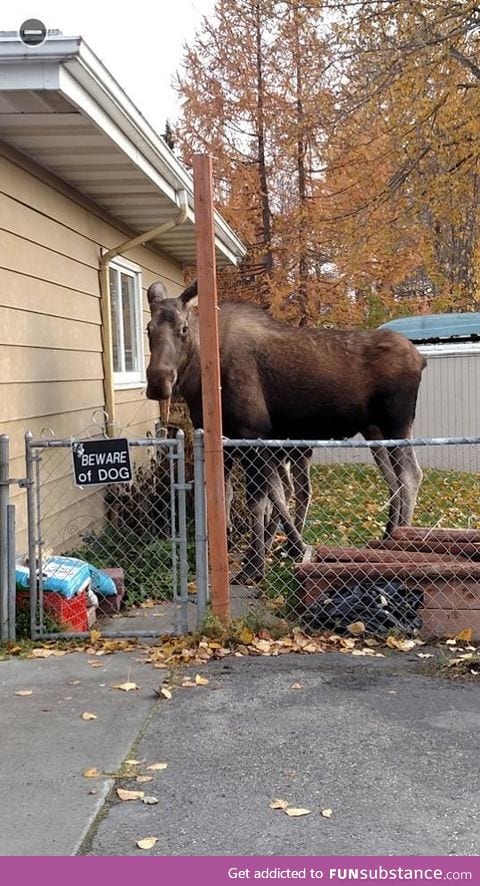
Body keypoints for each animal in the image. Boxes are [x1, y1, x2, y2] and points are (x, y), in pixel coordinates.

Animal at [144, 280, 426, 580]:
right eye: (148, 328)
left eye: (184, 328)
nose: (158, 381)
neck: (200, 380)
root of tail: (420, 359)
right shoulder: (231, 443)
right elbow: (238, 495)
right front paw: (275, 548)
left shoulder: (252, 434)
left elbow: (259, 500)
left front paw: (256, 565)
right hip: (374, 432)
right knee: (393, 481)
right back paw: (387, 536)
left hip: (397, 424)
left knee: (410, 476)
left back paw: (400, 542)